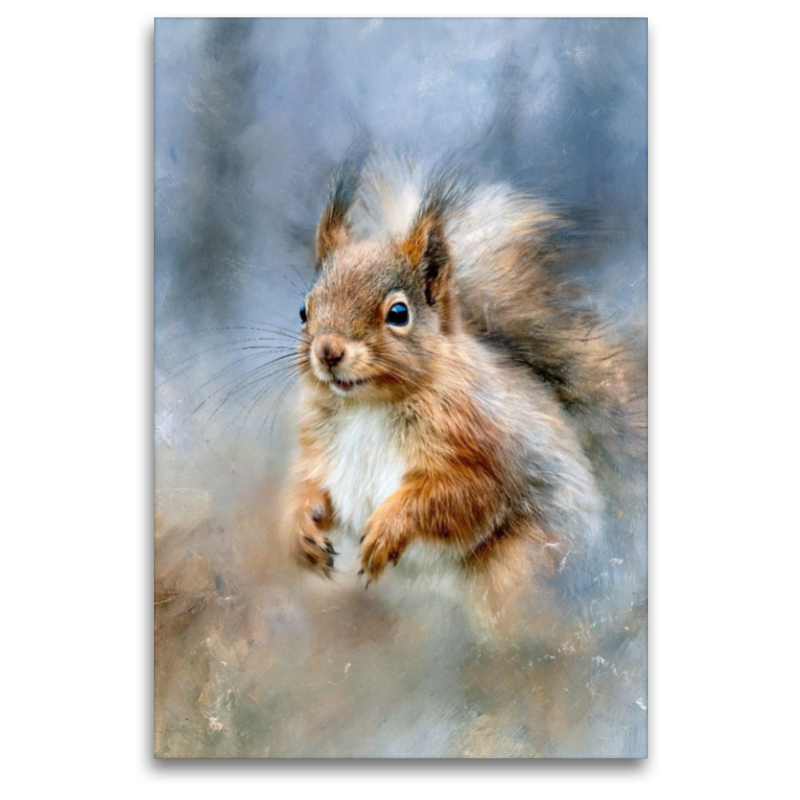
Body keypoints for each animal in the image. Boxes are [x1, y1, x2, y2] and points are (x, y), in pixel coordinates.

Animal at [282, 156, 646, 618]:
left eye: (398, 313)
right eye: (303, 310)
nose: (328, 351)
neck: (367, 404)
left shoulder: (483, 445)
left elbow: (462, 496)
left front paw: (387, 528)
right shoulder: (319, 448)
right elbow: (310, 486)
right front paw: (300, 530)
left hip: (522, 567)